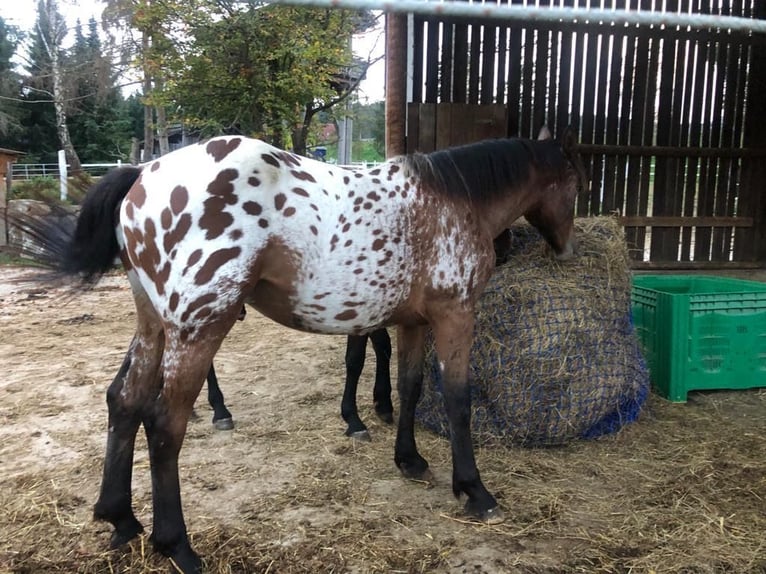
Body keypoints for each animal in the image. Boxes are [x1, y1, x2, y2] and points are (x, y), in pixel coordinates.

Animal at [18, 128, 584, 572]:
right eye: (576, 183)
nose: (566, 248)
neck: (452, 201)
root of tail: (143, 173)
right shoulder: (454, 316)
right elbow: (458, 401)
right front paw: (474, 490)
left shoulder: (412, 322)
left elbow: (410, 387)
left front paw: (409, 459)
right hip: (200, 327)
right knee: (164, 424)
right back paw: (177, 546)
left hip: (155, 325)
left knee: (125, 401)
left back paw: (120, 519)